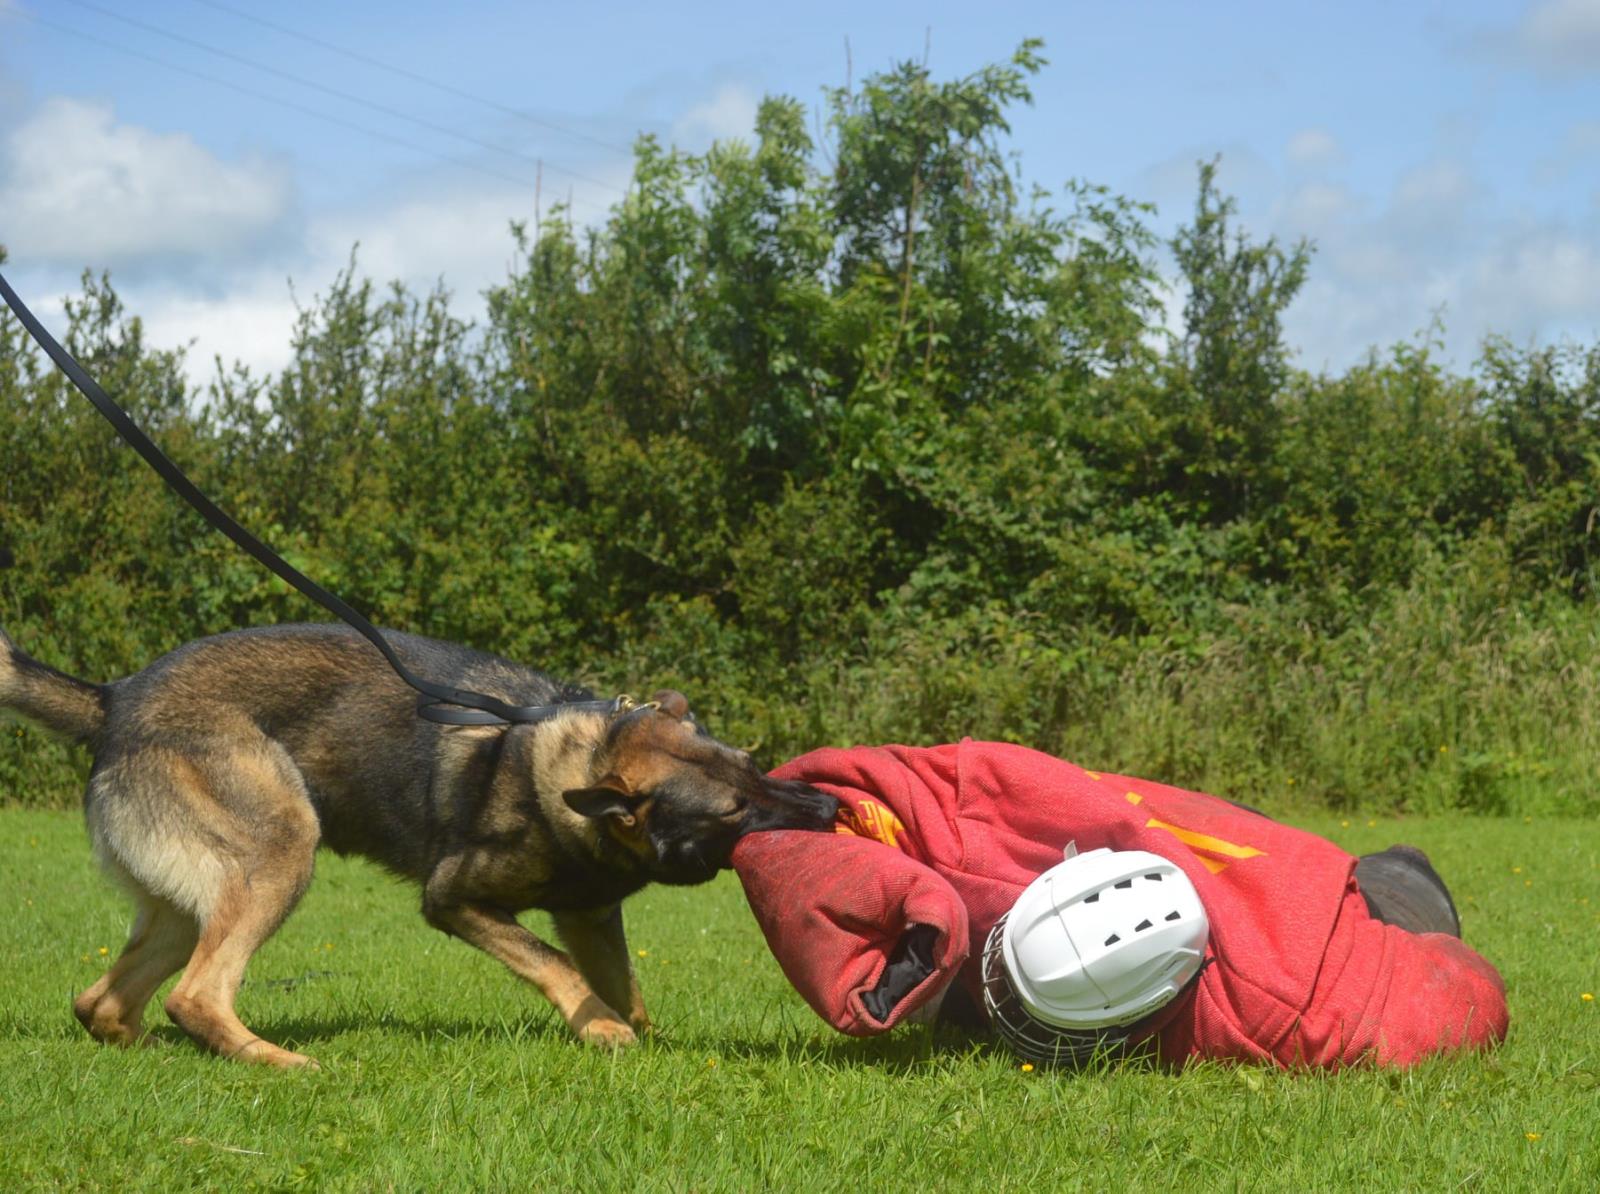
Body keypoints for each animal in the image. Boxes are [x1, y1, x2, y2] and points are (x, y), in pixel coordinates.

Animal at [0, 624, 844, 1062]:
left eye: (755, 766)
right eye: (735, 810)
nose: (832, 807)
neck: (573, 771)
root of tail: (113, 701)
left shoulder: (594, 915)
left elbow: (624, 988)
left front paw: (633, 1032)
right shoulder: (455, 901)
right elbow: (556, 964)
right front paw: (599, 1027)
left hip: (188, 902)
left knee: (102, 1002)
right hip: (282, 848)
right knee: (194, 995)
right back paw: (278, 1062)